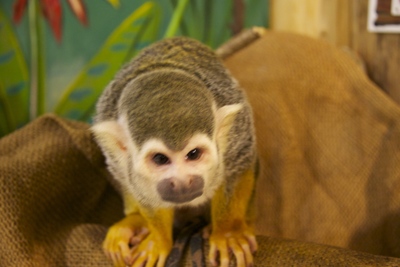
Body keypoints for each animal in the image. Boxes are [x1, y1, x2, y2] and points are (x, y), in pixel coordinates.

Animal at [92, 36, 258, 267]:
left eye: (194, 154)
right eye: (160, 159)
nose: (183, 182)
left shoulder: (236, 132)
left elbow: (238, 167)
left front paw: (228, 232)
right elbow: (143, 191)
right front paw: (159, 239)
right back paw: (134, 221)